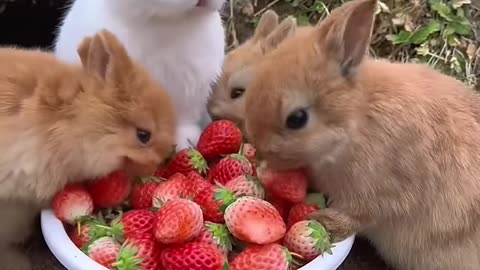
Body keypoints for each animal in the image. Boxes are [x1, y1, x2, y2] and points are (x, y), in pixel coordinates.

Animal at [246, 0, 480, 270]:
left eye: (297, 119)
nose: (258, 152)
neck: (355, 119)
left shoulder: (383, 195)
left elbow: (362, 216)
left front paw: (322, 221)